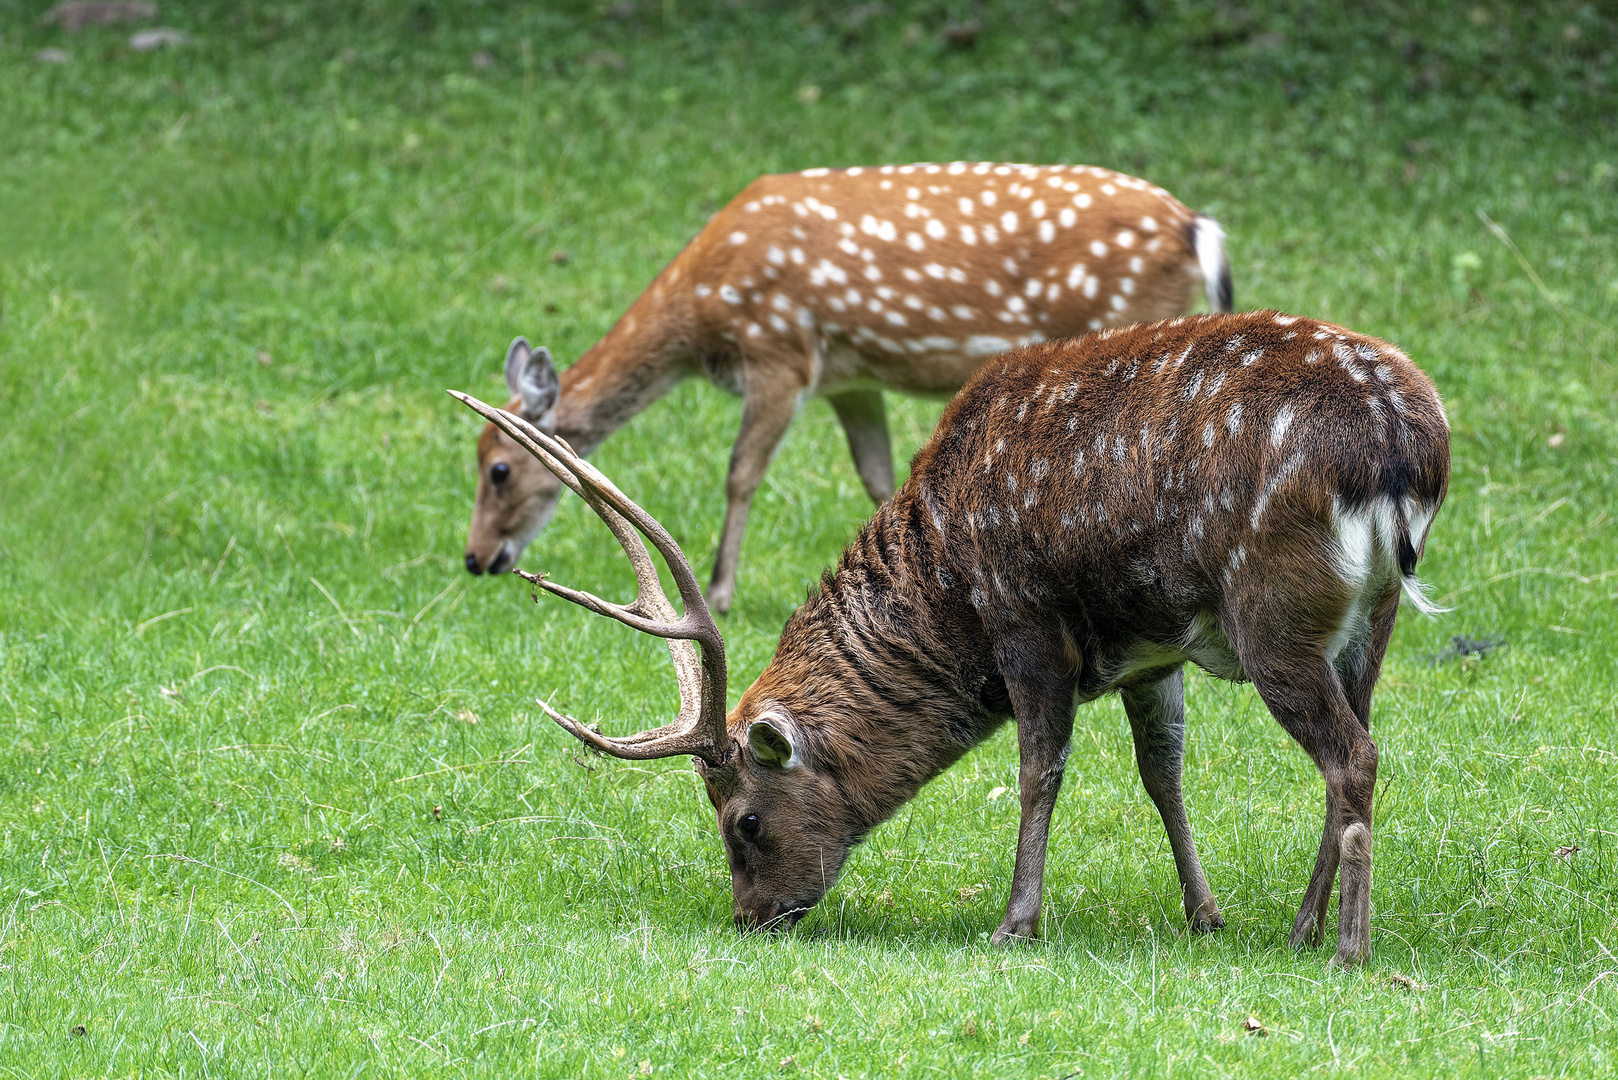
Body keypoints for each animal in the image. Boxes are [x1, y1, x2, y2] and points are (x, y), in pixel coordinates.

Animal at [449, 307, 1449, 965]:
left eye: (744, 822)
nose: (750, 917)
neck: (946, 588)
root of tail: (1407, 452)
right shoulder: (1147, 646)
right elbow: (1162, 770)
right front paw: (1204, 914)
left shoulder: (1026, 617)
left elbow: (1040, 767)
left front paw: (1014, 923)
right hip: (1368, 618)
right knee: (1356, 745)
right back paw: (1303, 926)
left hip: (1272, 610)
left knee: (1352, 755)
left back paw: (1348, 947)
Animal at [456, 162, 1223, 615]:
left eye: (499, 468)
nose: (476, 559)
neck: (701, 311)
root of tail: (1198, 230)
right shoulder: (850, 380)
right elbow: (878, 476)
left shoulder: (781, 353)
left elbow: (740, 472)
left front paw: (721, 591)